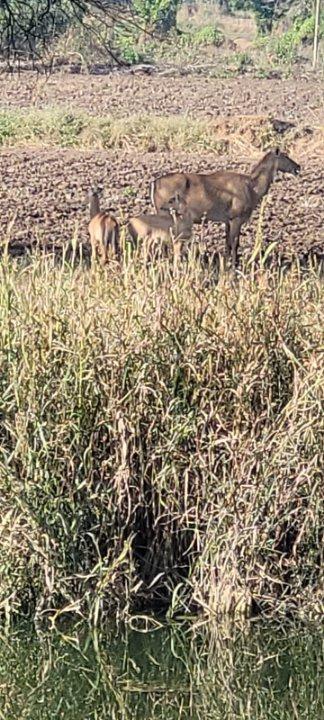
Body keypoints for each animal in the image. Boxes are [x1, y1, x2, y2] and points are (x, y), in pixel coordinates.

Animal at [151, 148, 300, 266]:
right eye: (285, 155)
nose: (298, 167)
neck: (252, 187)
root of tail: (155, 183)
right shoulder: (236, 219)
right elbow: (235, 243)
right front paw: (234, 264)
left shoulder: (228, 221)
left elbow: (228, 243)